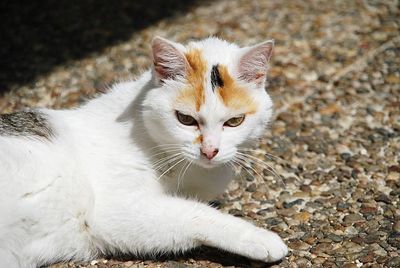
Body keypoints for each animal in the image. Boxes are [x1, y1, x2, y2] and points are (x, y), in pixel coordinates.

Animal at [0, 36, 288, 266]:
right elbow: (193, 213)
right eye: (185, 119)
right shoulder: (114, 212)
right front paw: (259, 238)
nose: (209, 151)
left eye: (234, 121)